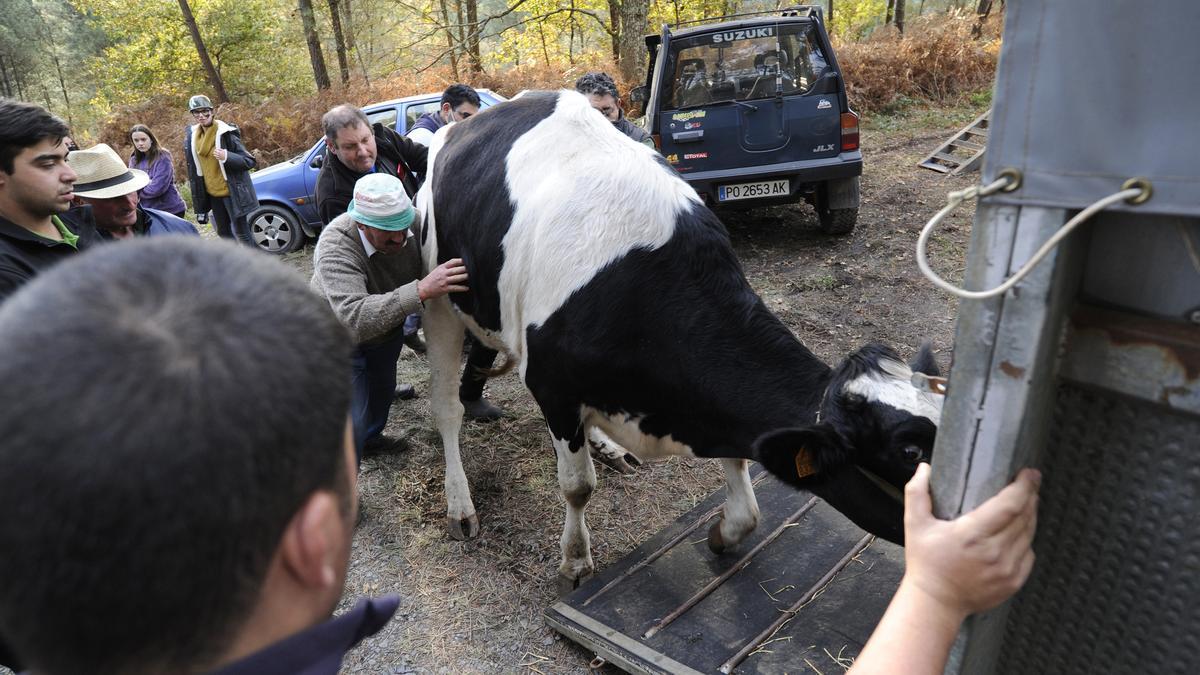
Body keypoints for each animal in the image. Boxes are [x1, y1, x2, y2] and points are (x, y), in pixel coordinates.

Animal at [420, 90, 945, 588]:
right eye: (910, 453)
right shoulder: (554, 386)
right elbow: (577, 487)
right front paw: (575, 563)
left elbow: (745, 495)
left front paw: (725, 531)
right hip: (440, 300)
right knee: (447, 408)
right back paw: (460, 505)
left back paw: (607, 448)